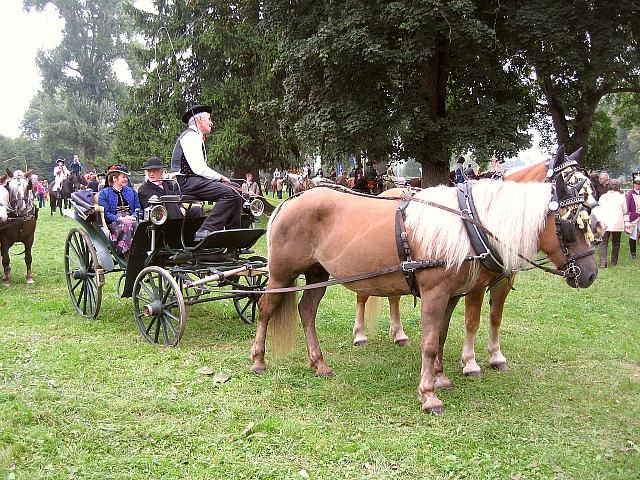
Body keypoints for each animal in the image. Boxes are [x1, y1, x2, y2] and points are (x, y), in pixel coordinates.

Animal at [251, 176, 600, 412]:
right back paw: (258, 360)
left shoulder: (452, 295)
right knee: (266, 308)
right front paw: (429, 394)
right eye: (572, 225)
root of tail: (287, 202)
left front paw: (441, 379)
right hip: (281, 274)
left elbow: (442, 336)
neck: (468, 225)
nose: (591, 273)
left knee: (307, 311)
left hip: (317, 274)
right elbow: (431, 342)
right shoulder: (434, 293)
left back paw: (319, 363)